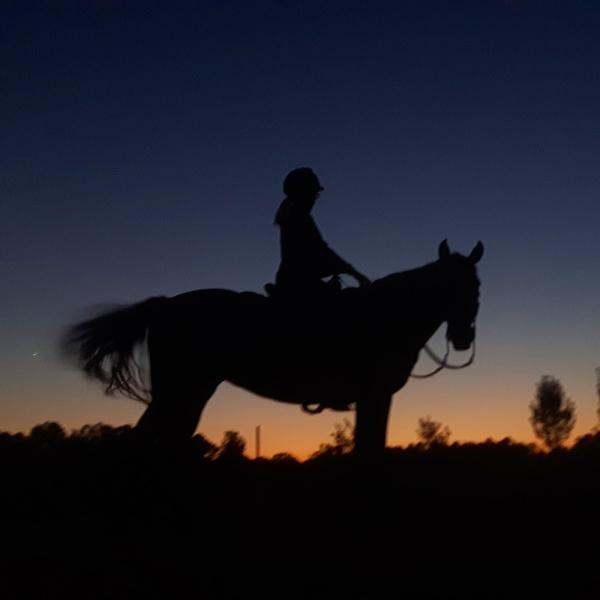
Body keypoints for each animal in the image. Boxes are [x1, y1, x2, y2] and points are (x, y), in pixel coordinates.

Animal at [63, 239, 482, 454]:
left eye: (476, 285)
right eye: (451, 284)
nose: (463, 337)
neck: (388, 314)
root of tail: (166, 304)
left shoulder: (373, 398)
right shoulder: (375, 395)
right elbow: (369, 451)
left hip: (190, 392)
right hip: (178, 390)